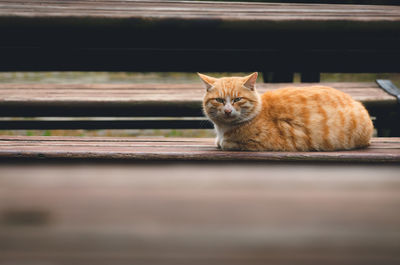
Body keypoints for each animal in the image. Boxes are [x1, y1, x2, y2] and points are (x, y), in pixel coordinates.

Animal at [198, 72, 374, 151]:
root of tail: (355, 101)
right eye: (219, 100)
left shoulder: (263, 143)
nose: (227, 111)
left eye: (237, 99)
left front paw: (224, 142)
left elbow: (227, 144)